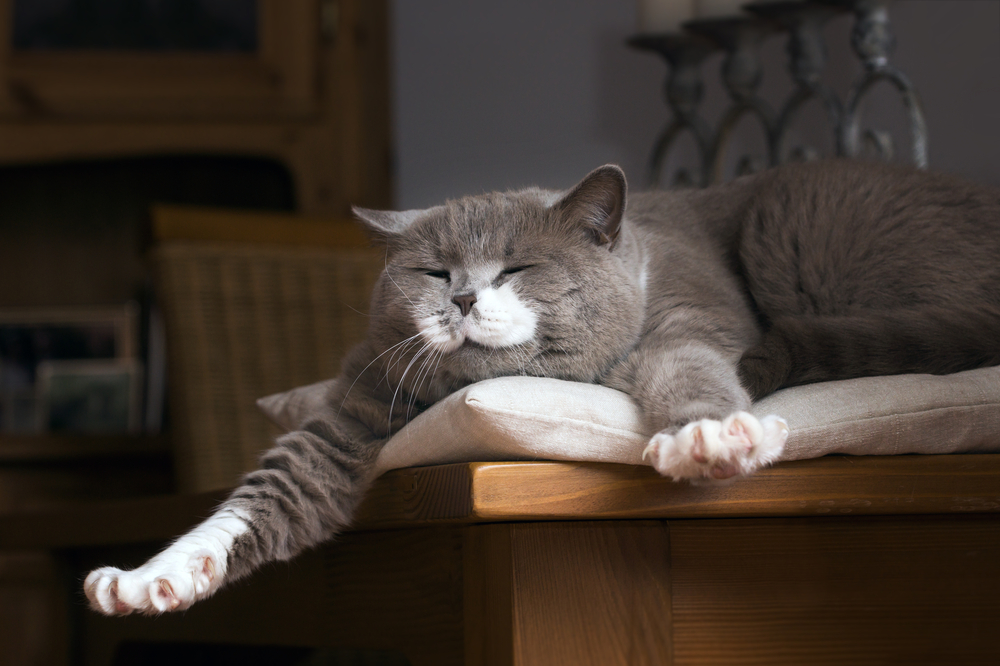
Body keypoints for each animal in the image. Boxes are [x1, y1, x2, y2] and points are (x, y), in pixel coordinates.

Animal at [84, 160, 1000, 612]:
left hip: (801, 230)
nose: (459, 298)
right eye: (432, 270)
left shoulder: (684, 316)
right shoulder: (359, 399)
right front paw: (150, 579)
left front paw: (707, 438)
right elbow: (271, 492)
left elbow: (692, 368)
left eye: (517, 267)